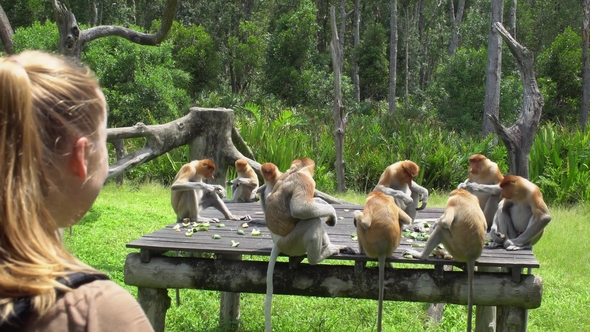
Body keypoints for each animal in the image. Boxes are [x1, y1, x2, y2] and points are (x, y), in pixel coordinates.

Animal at [266, 158, 354, 332]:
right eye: (312, 170)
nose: (313, 171)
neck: (295, 171)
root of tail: (277, 243)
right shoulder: (304, 181)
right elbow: (300, 209)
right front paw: (332, 213)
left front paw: (322, 203)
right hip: (292, 242)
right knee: (312, 221)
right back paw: (320, 255)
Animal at [354, 191, 414, 330]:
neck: (380, 196)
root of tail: (383, 251)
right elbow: (408, 219)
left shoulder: (370, 203)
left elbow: (365, 222)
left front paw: (356, 213)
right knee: (402, 221)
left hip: (368, 246)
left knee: (361, 225)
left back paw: (360, 251)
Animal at [404, 189, 488, 332]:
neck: (464, 195)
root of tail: (471, 257)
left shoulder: (453, 202)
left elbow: (445, 223)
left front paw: (435, 223)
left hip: (455, 249)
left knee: (441, 230)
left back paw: (421, 255)